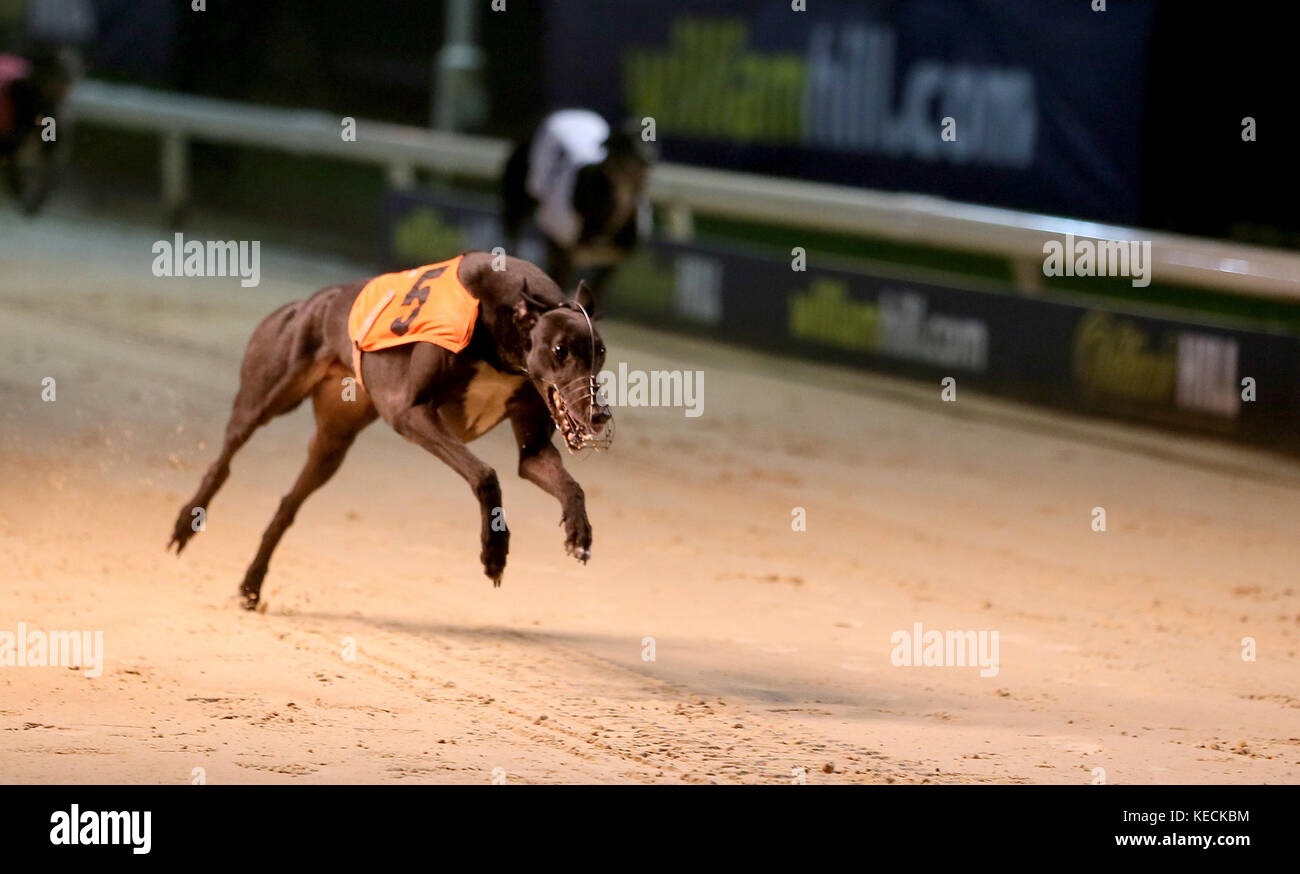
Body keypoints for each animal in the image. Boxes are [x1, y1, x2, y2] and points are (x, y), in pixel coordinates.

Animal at [501, 111, 655, 310]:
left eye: (650, 140)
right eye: (625, 142)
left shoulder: (610, 265)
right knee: (512, 235)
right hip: (517, 205)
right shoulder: (563, 254)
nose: (648, 157)